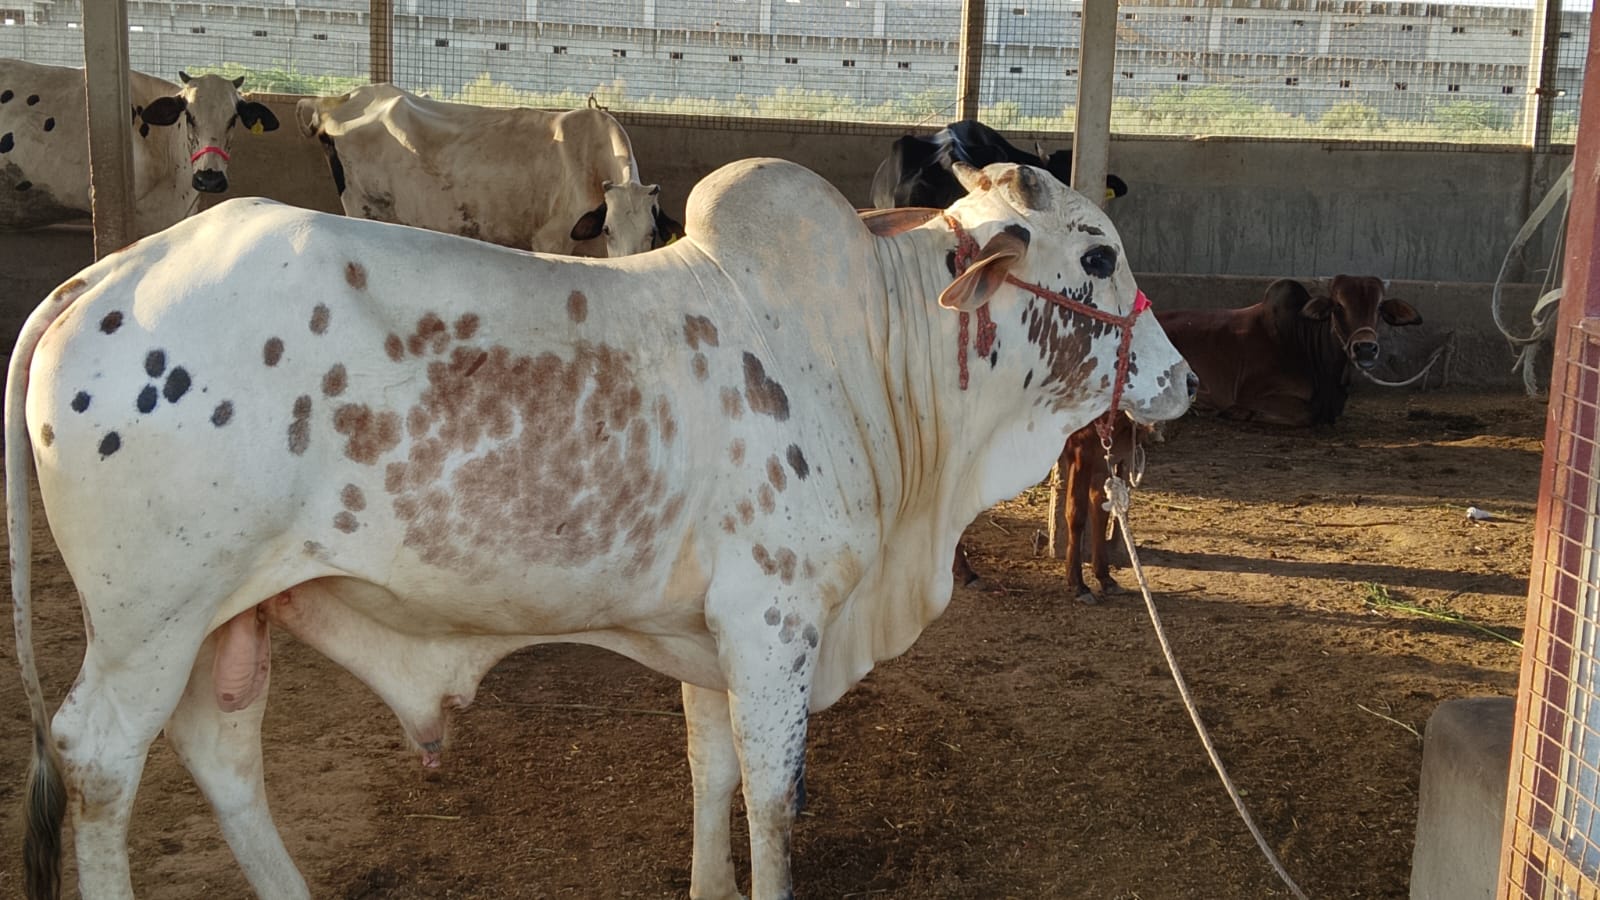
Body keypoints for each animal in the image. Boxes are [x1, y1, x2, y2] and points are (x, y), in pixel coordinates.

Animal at [8, 158, 1192, 900]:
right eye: (1096, 257)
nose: (1179, 379)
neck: (870, 350)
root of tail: (103, 275)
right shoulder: (774, 621)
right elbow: (774, 801)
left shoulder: (714, 635)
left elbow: (712, 773)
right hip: (148, 620)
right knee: (99, 761)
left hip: (223, 617)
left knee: (220, 753)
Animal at [1155, 275, 1422, 427]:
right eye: (1338, 306)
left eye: (1379, 307)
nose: (1365, 348)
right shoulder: (1253, 393)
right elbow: (1309, 413)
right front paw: (1239, 413)